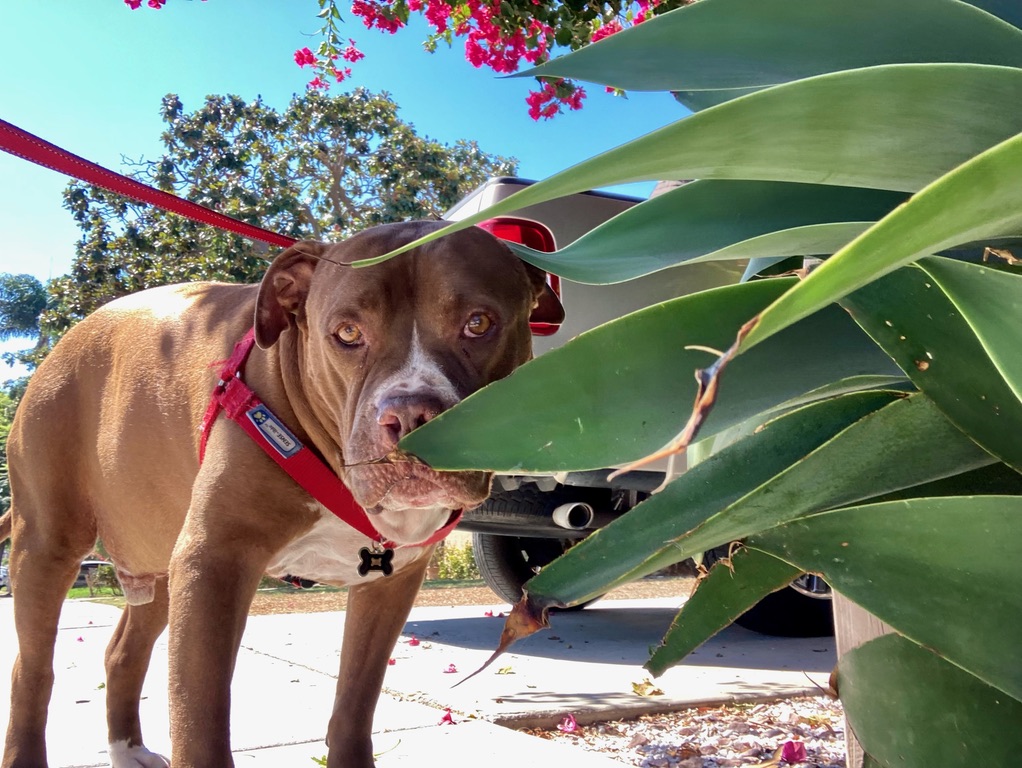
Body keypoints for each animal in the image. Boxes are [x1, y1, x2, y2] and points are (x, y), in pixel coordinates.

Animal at [0, 218, 560, 764]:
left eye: (479, 323)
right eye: (347, 333)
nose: (409, 416)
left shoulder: (390, 584)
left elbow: (354, 707)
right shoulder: (214, 561)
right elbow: (200, 727)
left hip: (161, 552)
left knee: (122, 651)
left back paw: (127, 750)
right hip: (49, 541)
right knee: (32, 669)